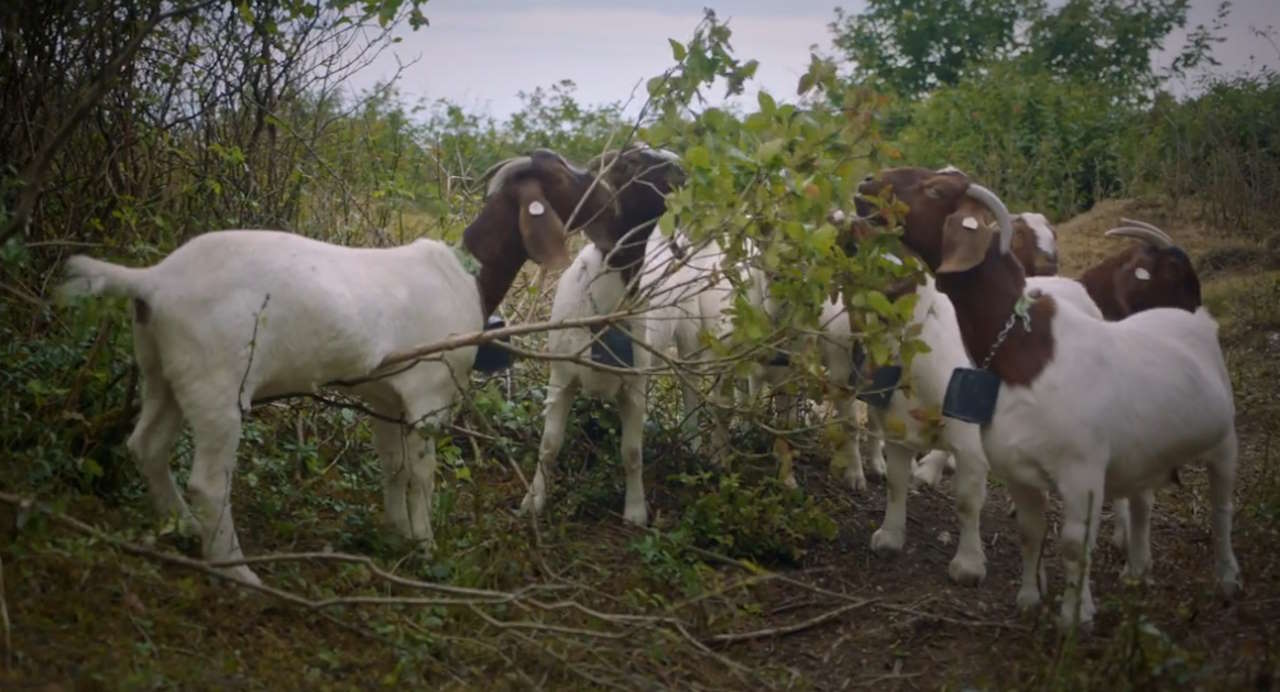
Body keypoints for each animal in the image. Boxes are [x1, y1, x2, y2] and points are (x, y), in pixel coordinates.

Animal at [57, 149, 616, 583]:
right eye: (565, 175)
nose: (610, 192)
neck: (468, 275)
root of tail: (153, 281)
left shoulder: (386, 397)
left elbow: (393, 467)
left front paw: (397, 533)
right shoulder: (429, 398)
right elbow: (421, 475)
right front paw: (425, 545)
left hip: (164, 373)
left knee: (146, 445)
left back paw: (181, 528)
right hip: (218, 387)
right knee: (209, 482)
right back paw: (238, 572)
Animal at [860, 166, 1239, 626]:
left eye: (935, 190)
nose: (864, 184)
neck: (1024, 348)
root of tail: (1198, 322)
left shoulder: (1081, 471)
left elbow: (1071, 542)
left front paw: (1074, 614)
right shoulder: (1016, 466)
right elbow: (1029, 531)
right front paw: (1029, 597)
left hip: (1224, 443)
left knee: (1221, 509)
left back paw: (1226, 579)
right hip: (1143, 453)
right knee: (1143, 501)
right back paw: (1137, 569)